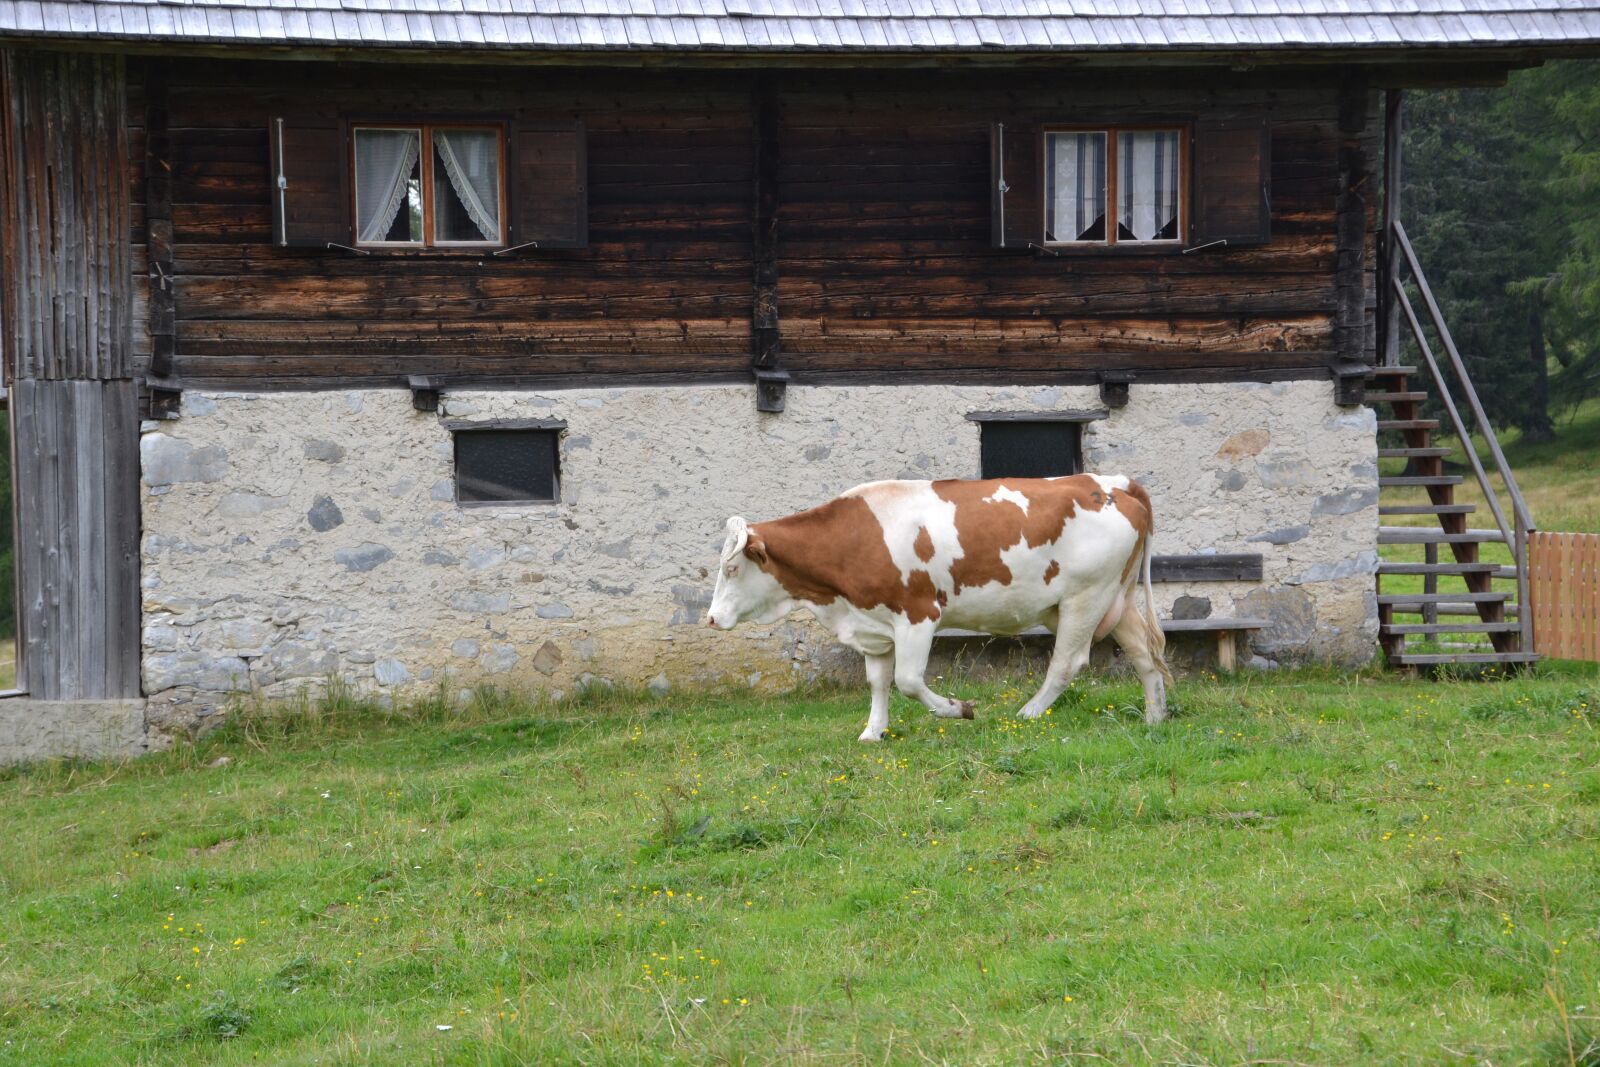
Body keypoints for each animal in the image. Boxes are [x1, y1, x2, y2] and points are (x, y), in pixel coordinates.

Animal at [705, 473, 1172, 741]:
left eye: (731, 567)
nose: (710, 618)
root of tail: (1110, 482)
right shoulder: (873, 625)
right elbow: (878, 682)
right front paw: (873, 731)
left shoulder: (917, 614)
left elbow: (909, 681)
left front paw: (958, 709)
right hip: (1113, 597)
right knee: (1144, 654)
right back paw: (1155, 718)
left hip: (1085, 596)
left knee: (1067, 663)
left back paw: (1028, 713)